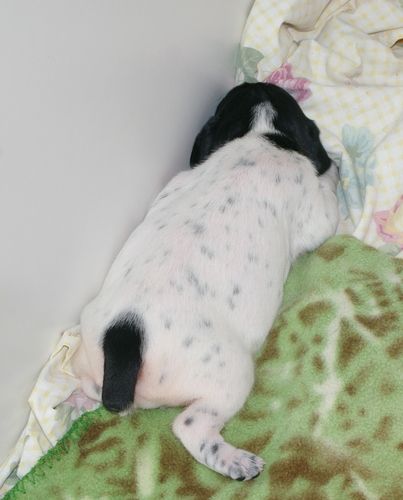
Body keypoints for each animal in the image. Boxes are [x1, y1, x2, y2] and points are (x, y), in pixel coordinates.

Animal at [73, 82, 339, 480]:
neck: (257, 133)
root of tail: (125, 336)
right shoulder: (312, 206)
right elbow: (329, 204)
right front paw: (335, 171)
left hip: (88, 347)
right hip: (230, 372)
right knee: (190, 427)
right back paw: (235, 461)